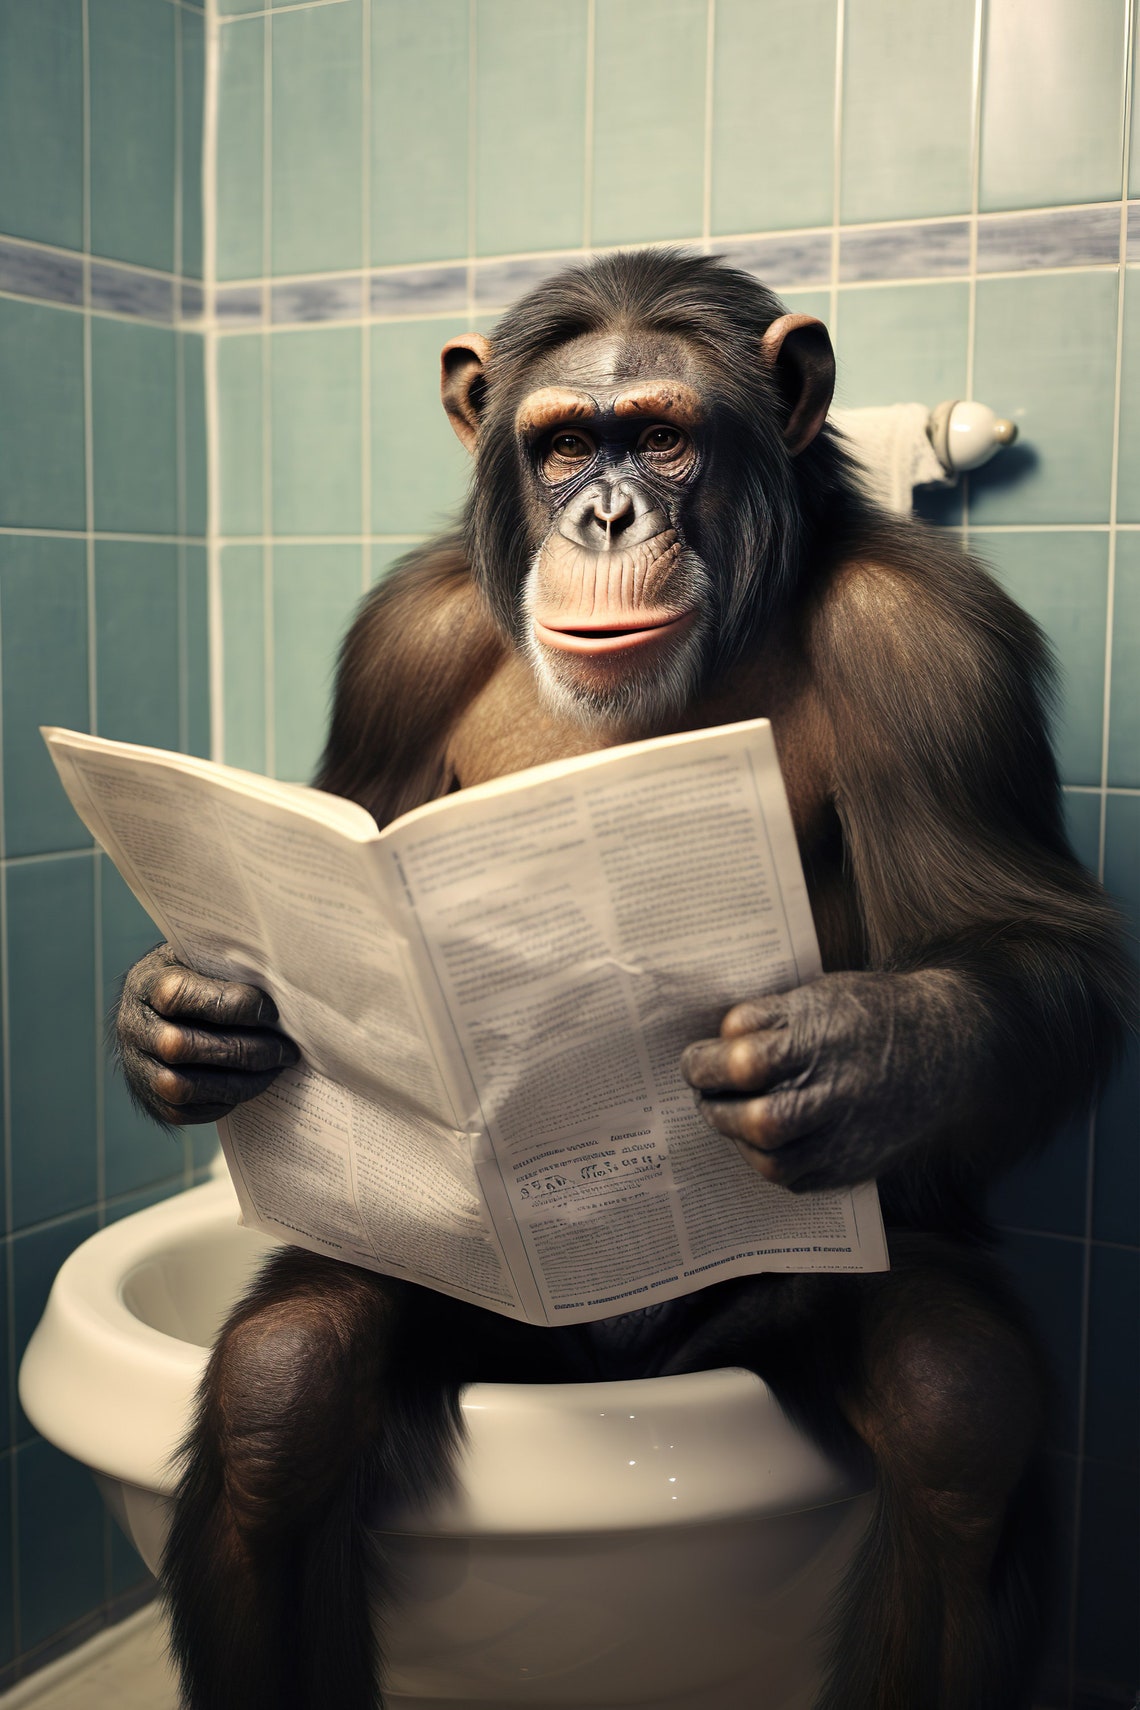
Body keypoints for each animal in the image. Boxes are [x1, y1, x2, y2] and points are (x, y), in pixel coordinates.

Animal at [114, 250, 1132, 1710]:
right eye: (558, 445)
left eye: (659, 435)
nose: (602, 514)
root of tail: (612, 1379)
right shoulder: (400, 645)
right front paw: (179, 1019)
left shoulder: (936, 646)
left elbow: (1026, 929)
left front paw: (846, 1060)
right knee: (277, 1394)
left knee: (963, 1419)